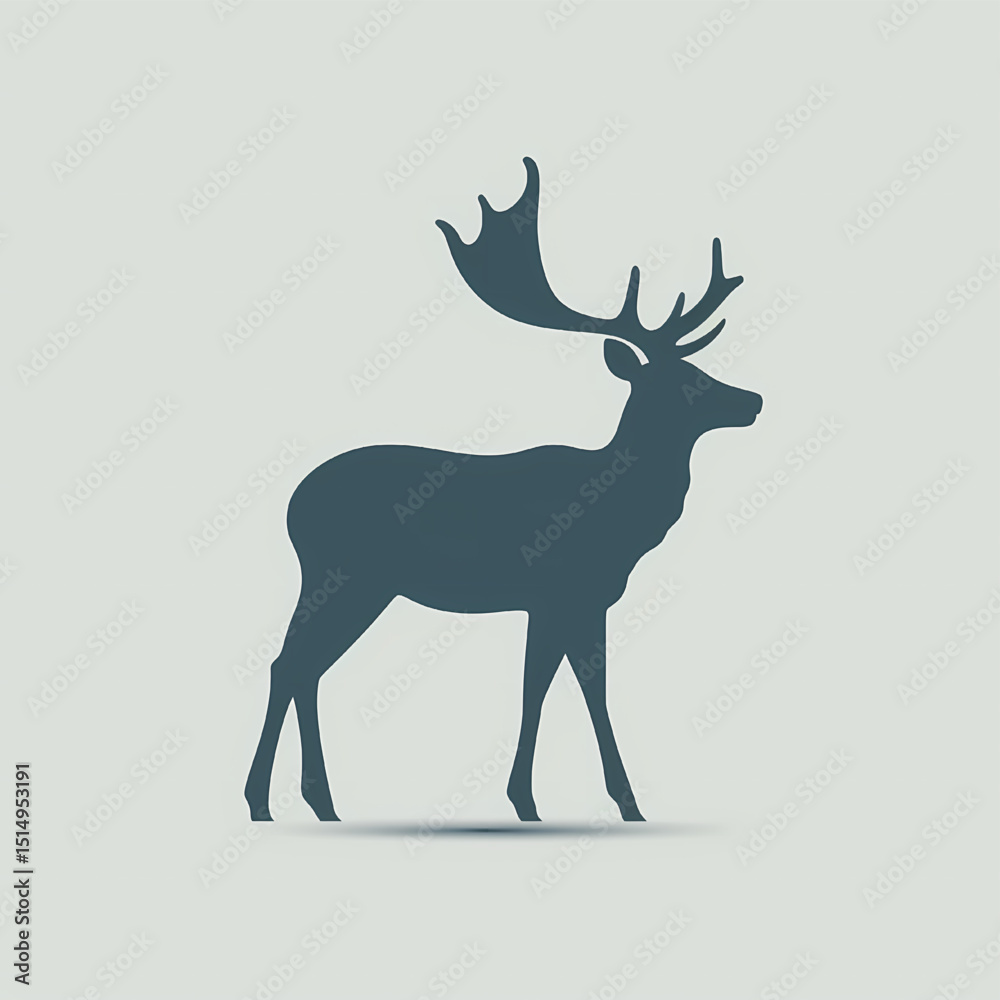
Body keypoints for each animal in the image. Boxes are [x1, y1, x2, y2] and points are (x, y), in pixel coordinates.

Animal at [245, 157, 763, 823]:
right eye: (686, 380)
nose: (753, 400)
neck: (621, 516)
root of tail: (290, 505)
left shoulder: (564, 601)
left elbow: (543, 686)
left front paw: (535, 799)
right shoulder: (564, 591)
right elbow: (575, 688)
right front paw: (610, 802)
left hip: (362, 585)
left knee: (303, 667)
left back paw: (319, 802)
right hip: (343, 574)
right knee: (290, 663)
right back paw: (265, 801)